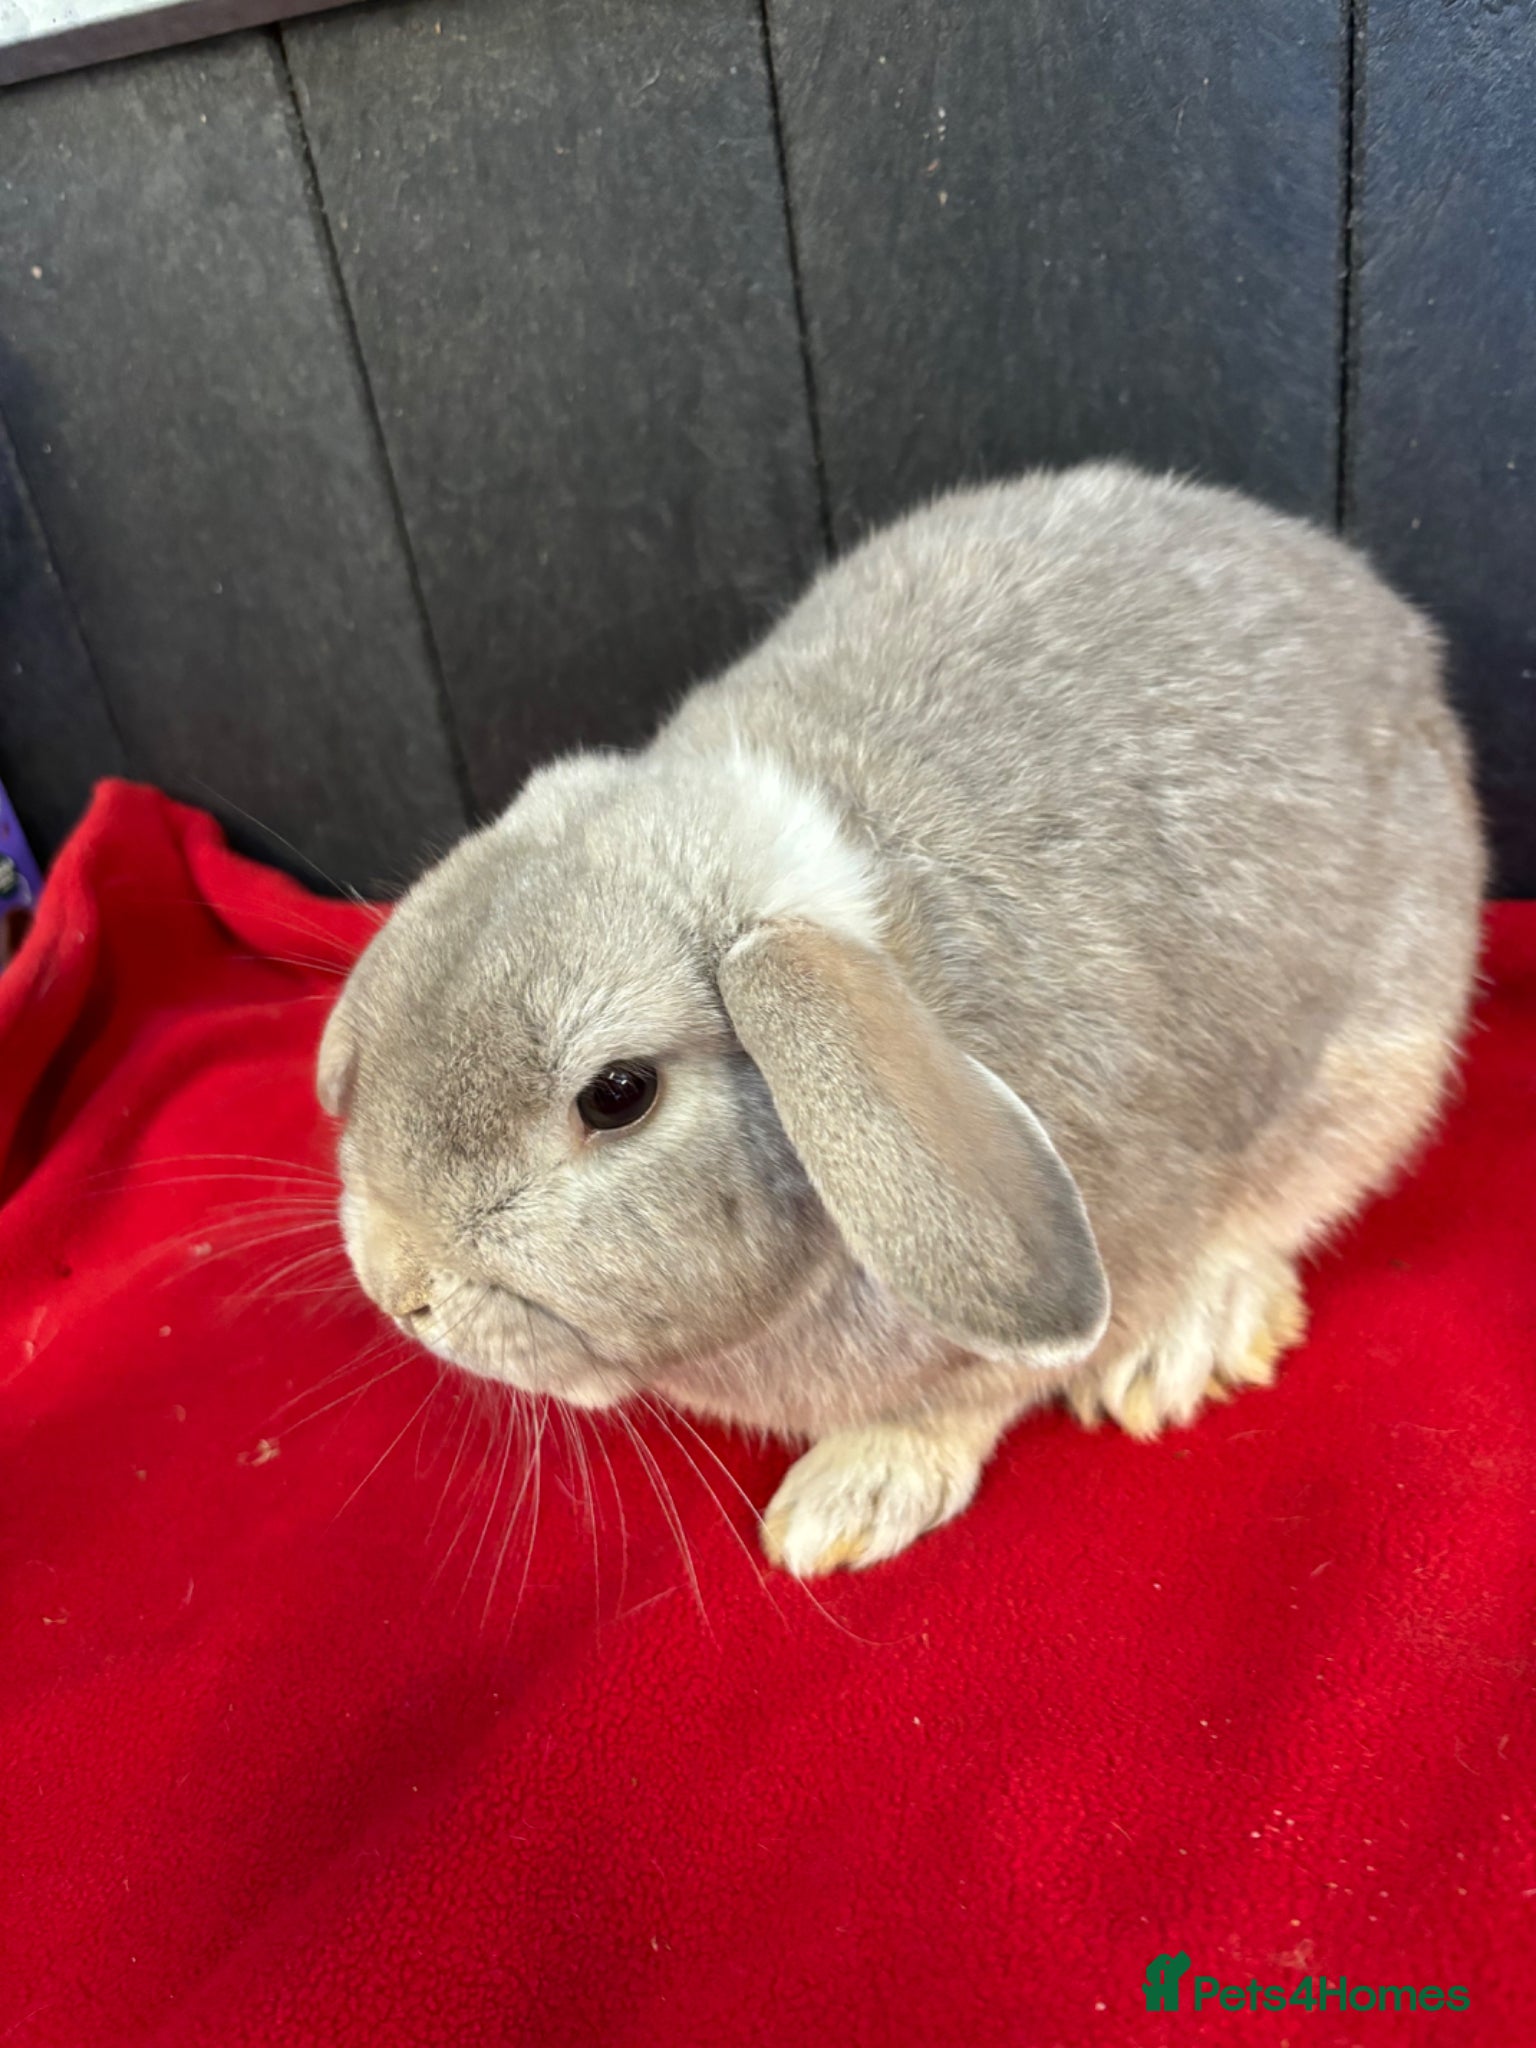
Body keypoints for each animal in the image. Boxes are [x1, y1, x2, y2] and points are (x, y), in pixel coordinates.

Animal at [317, 462, 1484, 1578]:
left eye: (618, 1094)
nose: (399, 1290)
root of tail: (1392, 624)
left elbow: (967, 1396)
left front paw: (843, 1507)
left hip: (1380, 1062)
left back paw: (1179, 1350)